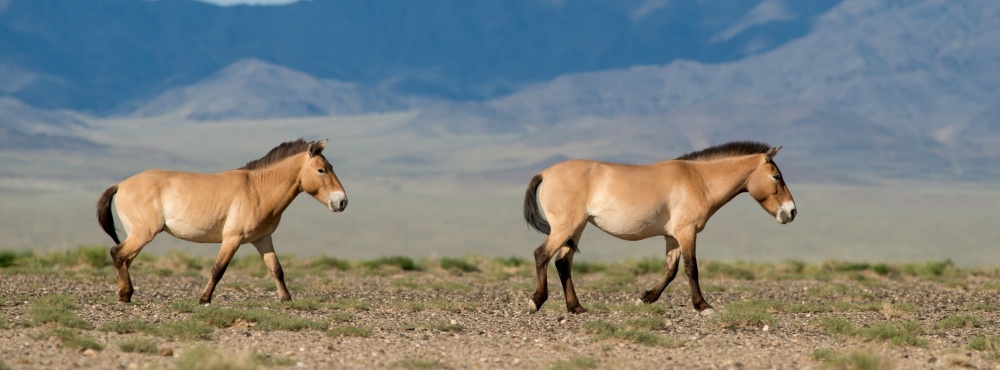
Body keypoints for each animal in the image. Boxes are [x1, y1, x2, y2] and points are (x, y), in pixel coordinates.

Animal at [97, 138, 348, 304]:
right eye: (321, 170)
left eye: (330, 167)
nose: (342, 201)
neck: (258, 189)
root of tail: (121, 184)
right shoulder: (232, 239)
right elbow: (218, 270)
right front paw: (204, 299)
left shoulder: (263, 239)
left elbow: (276, 269)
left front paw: (286, 298)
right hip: (143, 234)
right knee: (117, 253)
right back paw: (125, 295)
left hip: (138, 235)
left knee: (125, 259)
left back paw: (125, 293)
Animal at [524, 141, 796, 316]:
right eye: (776, 177)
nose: (791, 211)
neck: (699, 180)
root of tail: (545, 173)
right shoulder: (687, 233)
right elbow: (691, 269)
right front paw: (703, 307)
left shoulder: (672, 237)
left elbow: (671, 271)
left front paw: (645, 298)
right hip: (565, 227)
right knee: (542, 255)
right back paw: (536, 302)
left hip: (577, 228)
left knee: (563, 262)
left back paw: (576, 308)